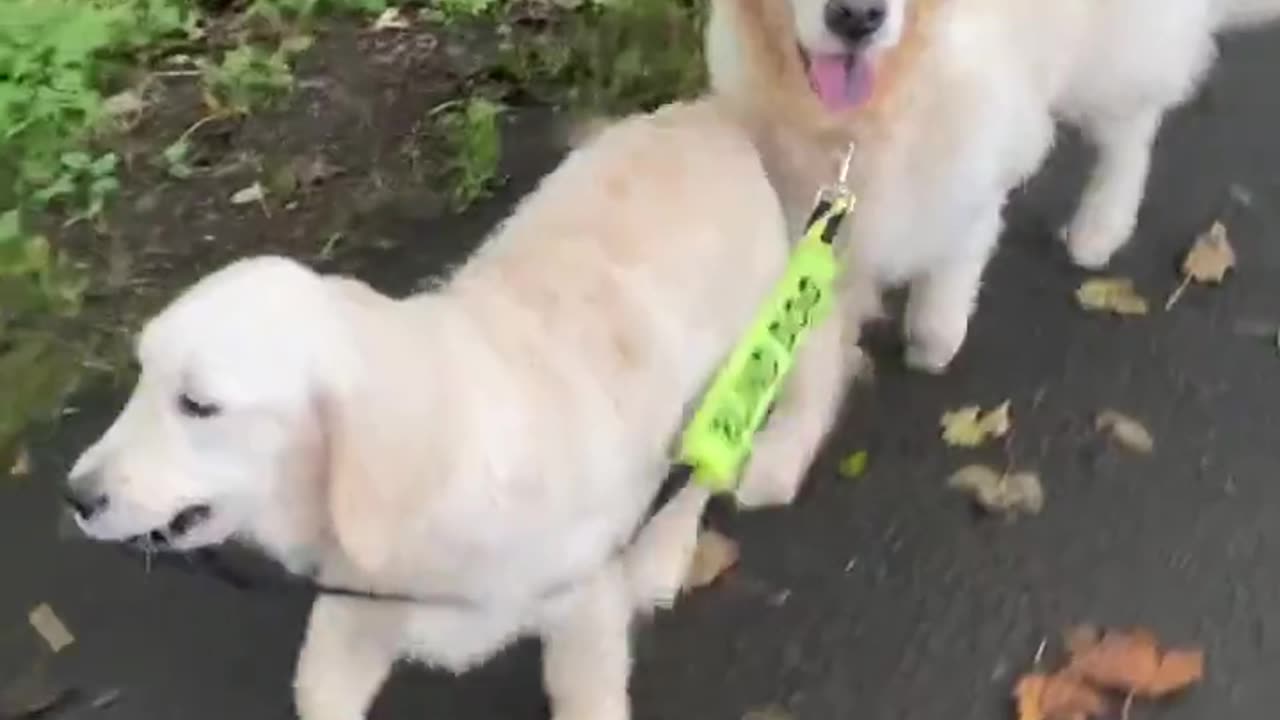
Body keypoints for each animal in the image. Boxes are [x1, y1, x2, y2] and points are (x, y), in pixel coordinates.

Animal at [64, 99, 839, 717]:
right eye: (140, 375)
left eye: (197, 404)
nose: (76, 497)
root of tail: (707, 115)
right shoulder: (351, 618)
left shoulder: (581, 610)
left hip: (746, 363)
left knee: (706, 468)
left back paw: (661, 554)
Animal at [711, 0, 1280, 376]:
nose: (857, 16)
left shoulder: (975, 162)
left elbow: (950, 270)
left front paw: (932, 343)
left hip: (1111, 51)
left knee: (1132, 128)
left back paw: (1101, 225)